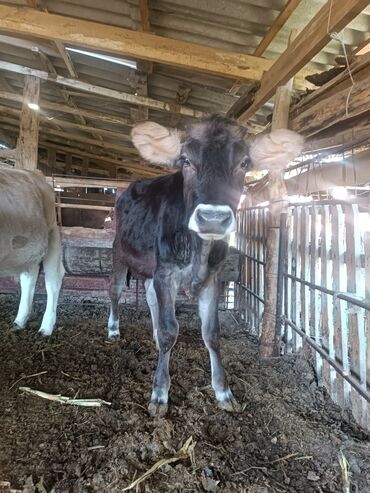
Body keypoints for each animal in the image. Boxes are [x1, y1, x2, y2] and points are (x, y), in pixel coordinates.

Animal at [0, 168, 64, 334]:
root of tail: (34, 172)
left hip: (52, 234)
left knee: (53, 280)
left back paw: (46, 328)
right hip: (31, 249)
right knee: (29, 276)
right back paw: (20, 321)